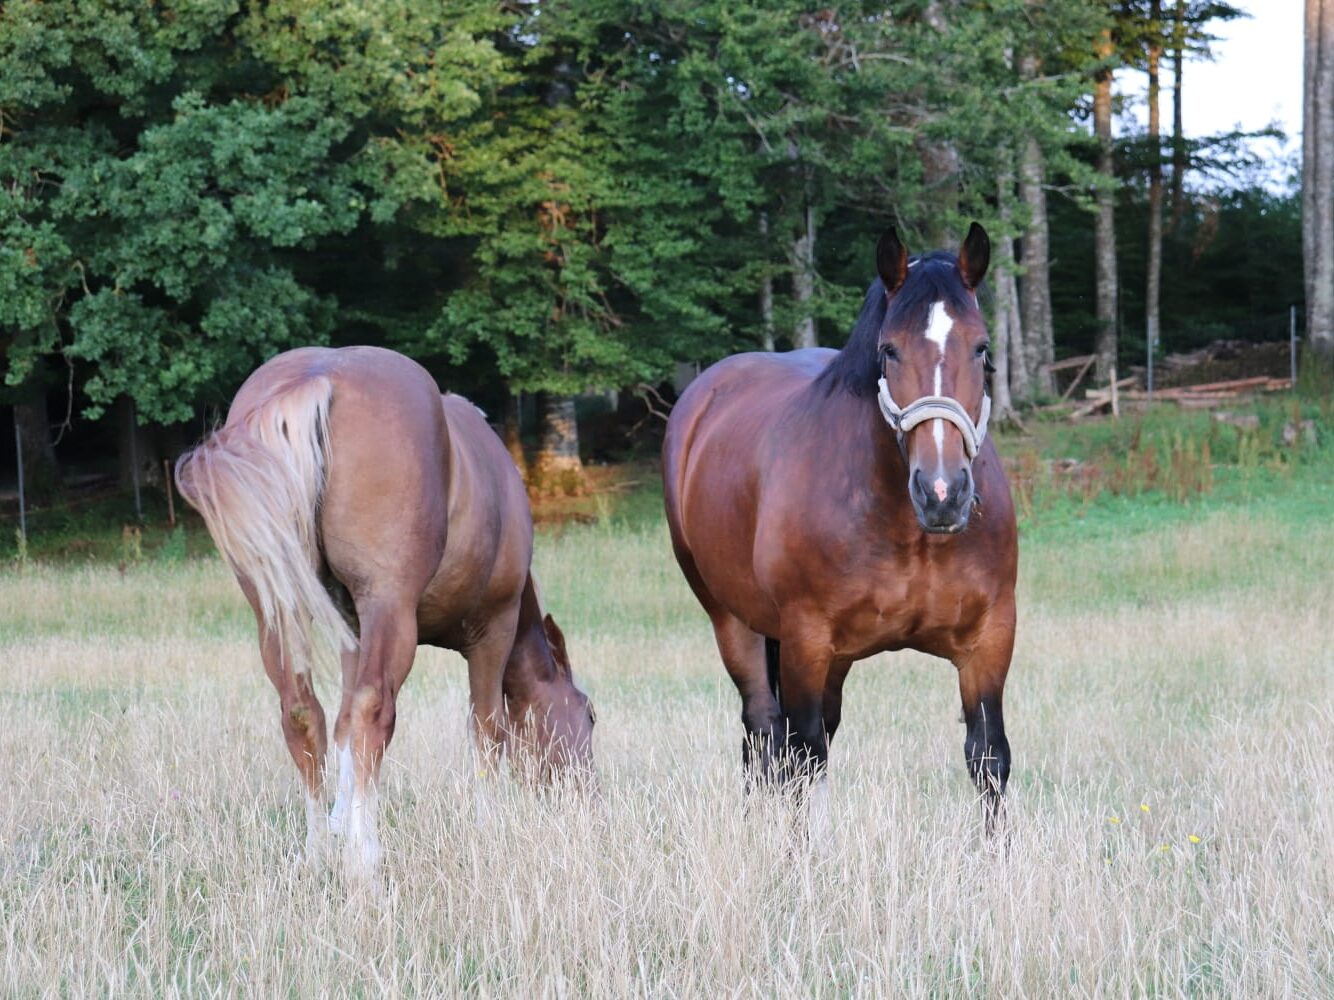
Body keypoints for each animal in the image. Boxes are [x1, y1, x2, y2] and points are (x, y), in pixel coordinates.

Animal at [177, 346, 594, 874]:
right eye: (590, 714)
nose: (590, 797)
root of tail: (317, 377)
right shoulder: (492, 632)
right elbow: (486, 728)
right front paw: (488, 826)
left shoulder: (353, 634)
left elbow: (342, 725)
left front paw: (339, 822)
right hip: (389, 606)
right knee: (374, 712)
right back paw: (364, 857)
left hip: (277, 609)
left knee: (303, 713)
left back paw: (316, 851)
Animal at [661, 226, 1013, 832]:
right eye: (889, 349)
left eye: (982, 347)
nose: (942, 491)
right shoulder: (806, 640)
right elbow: (803, 758)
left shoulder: (989, 639)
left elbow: (988, 758)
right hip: (733, 622)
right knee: (765, 730)